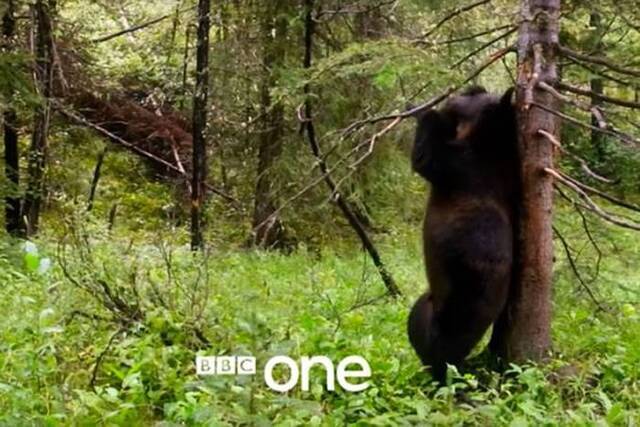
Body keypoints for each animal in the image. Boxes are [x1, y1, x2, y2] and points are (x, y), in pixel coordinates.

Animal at [410, 85, 520, 382]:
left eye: (470, 99)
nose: (469, 89)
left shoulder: (459, 164)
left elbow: (424, 157)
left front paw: (428, 112)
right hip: (433, 303)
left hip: (453, 312)